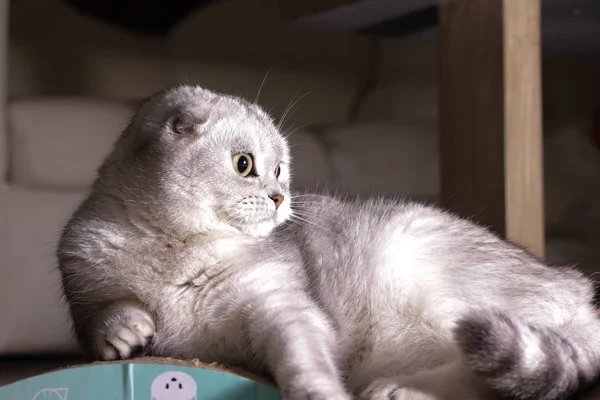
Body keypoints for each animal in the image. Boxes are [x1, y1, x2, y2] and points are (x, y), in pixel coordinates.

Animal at [57, 85, 600, 400]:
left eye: (280, 169)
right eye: (244, 165)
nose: (280, 197)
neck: (180, 247)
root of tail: (575, 284)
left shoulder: (282, 306)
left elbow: (304, 361)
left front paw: (317, 392)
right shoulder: (82, 279)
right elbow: (99, 318)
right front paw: (126, 331)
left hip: (437, 285)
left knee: (483, 380)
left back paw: (398, 391)